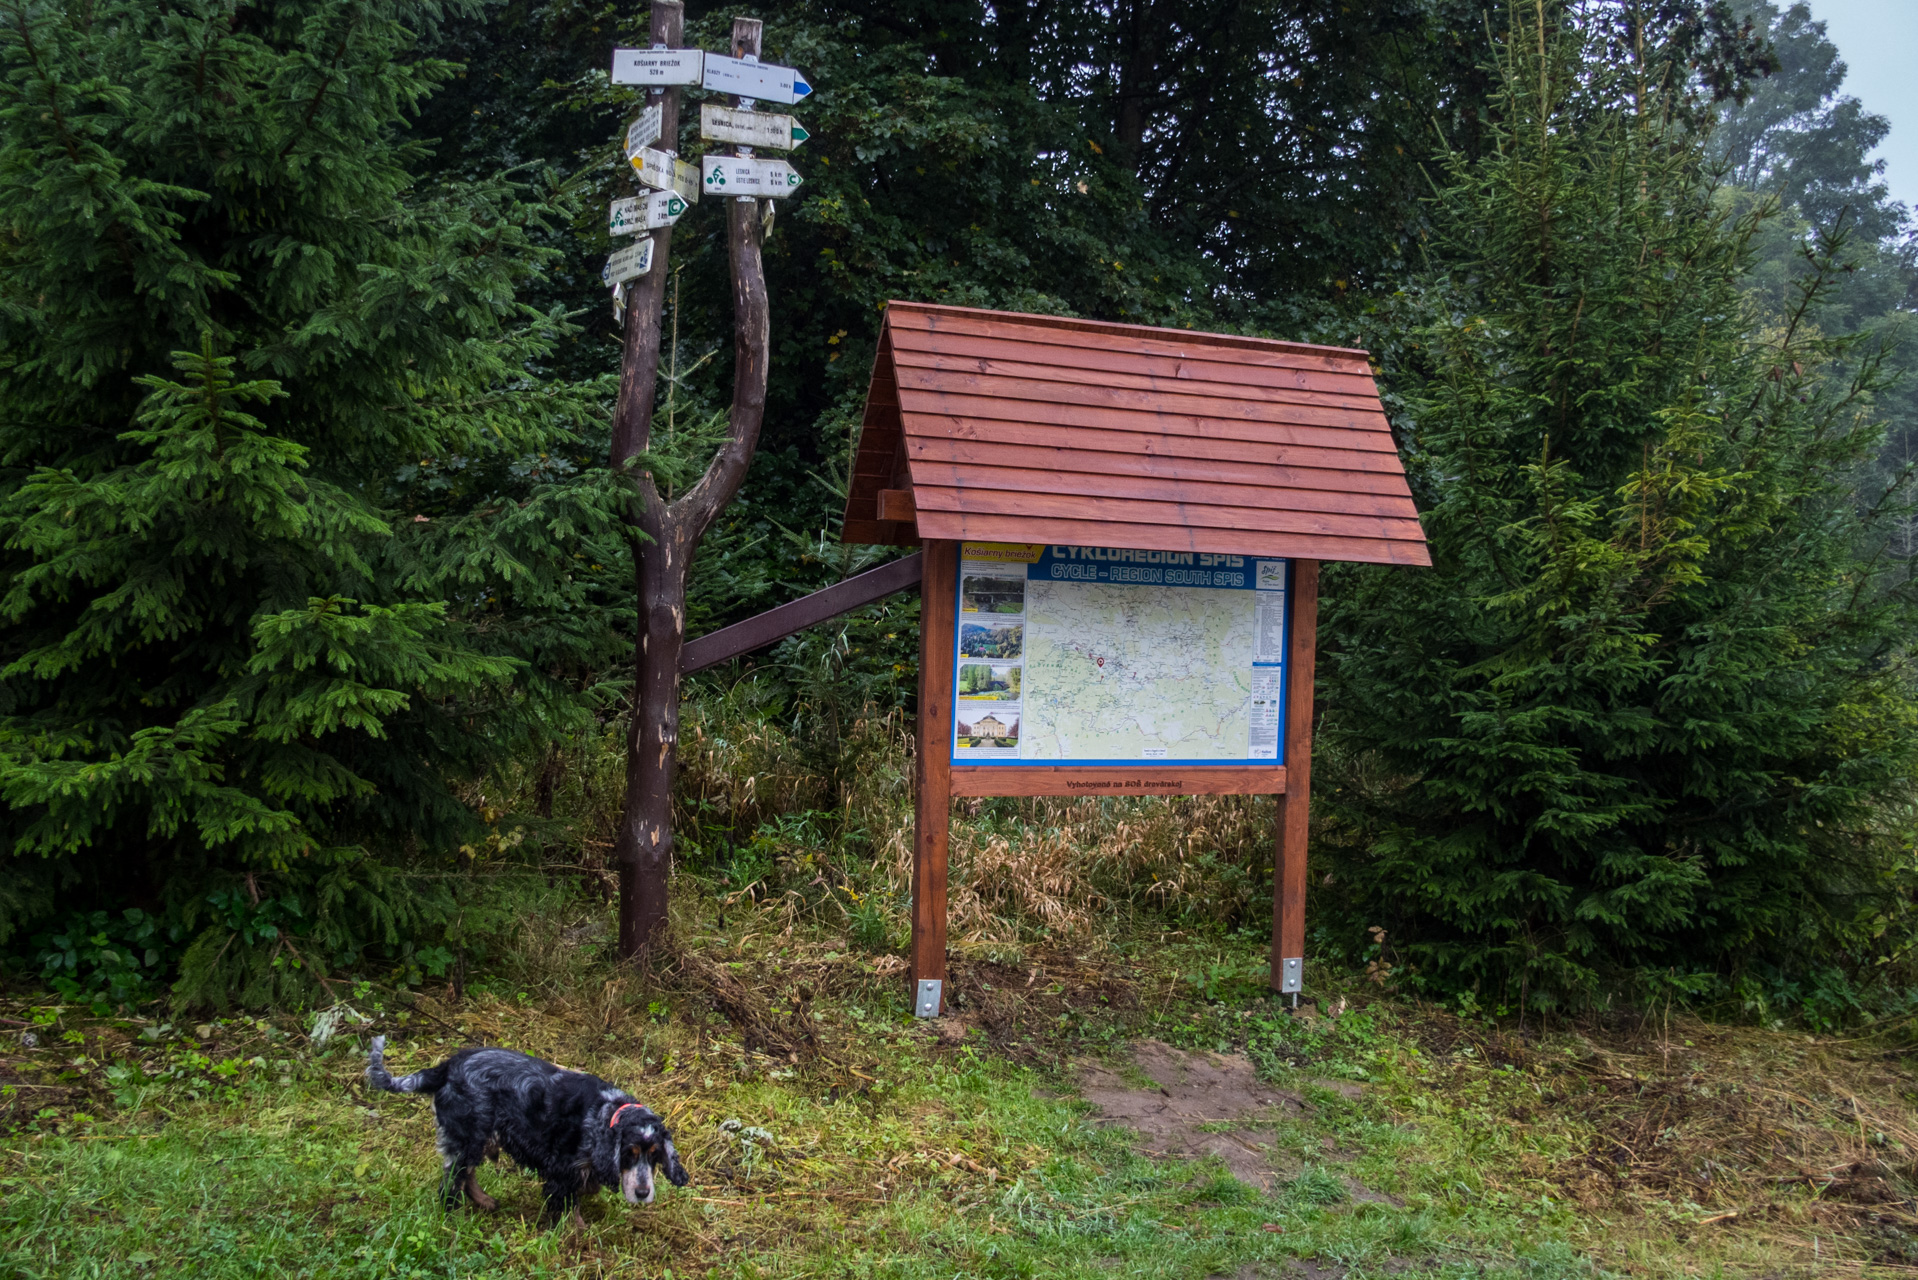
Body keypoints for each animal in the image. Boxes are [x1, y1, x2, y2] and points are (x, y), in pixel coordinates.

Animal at [362, 1036, 686, 1228]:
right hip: (468, 1136)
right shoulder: (561, 1168)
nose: (643, 1193)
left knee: (467, 1175)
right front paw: (578, 1233)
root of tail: (446, 1067)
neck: (607, 1112)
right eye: (629, 1154)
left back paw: (486, 1202)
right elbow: (568, 1202)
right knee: (452, 1183)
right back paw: (452, 1219)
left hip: (476, 1139)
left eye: (655, 1156)